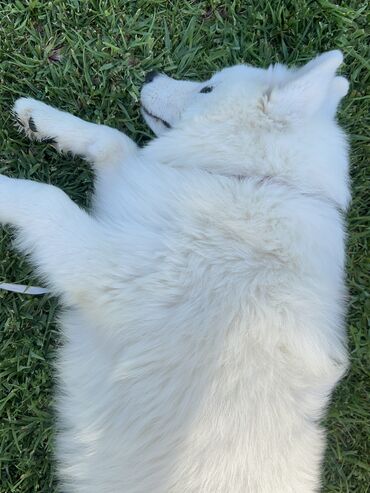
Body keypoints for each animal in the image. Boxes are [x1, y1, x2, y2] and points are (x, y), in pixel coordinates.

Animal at [0, 51, 350, 492]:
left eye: (208, 88)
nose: (149, 75)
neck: (256, 181)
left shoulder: (103, 269)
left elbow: (48, 197)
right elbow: (111, 138)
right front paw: (39, 119)